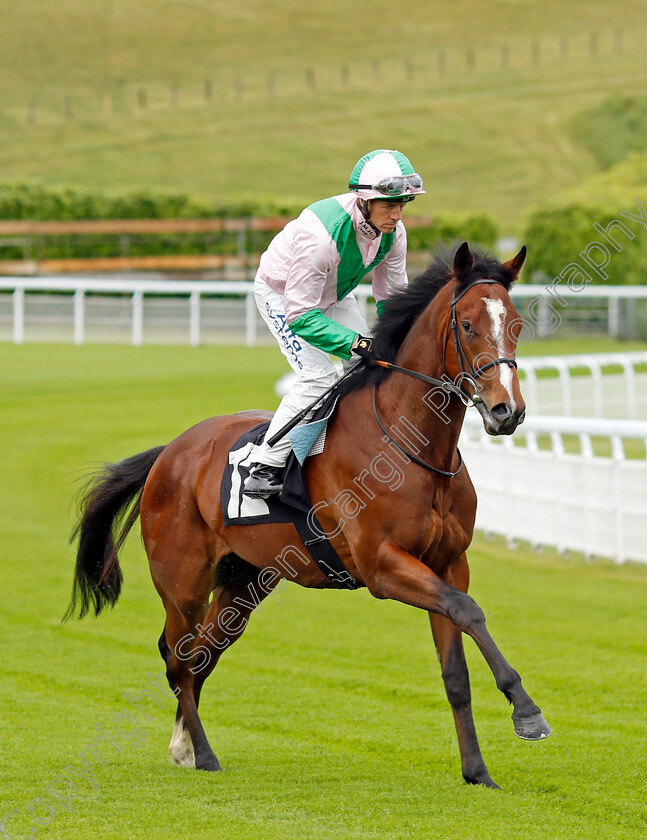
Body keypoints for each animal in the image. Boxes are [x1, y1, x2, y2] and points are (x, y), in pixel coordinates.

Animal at [64, 241, 552, 788]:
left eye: (515, 323)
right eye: (467, 325)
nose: (507, 411)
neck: (409, 443)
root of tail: (170, 452)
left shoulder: (448, 564)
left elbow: (456, 667)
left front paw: (477, 771)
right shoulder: (381, 566)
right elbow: (468, 611)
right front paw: (527, 711)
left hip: (243, 580)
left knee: (204, 653)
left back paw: (184, 747)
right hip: (182, 580)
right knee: (180, 656)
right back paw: (204, 754)